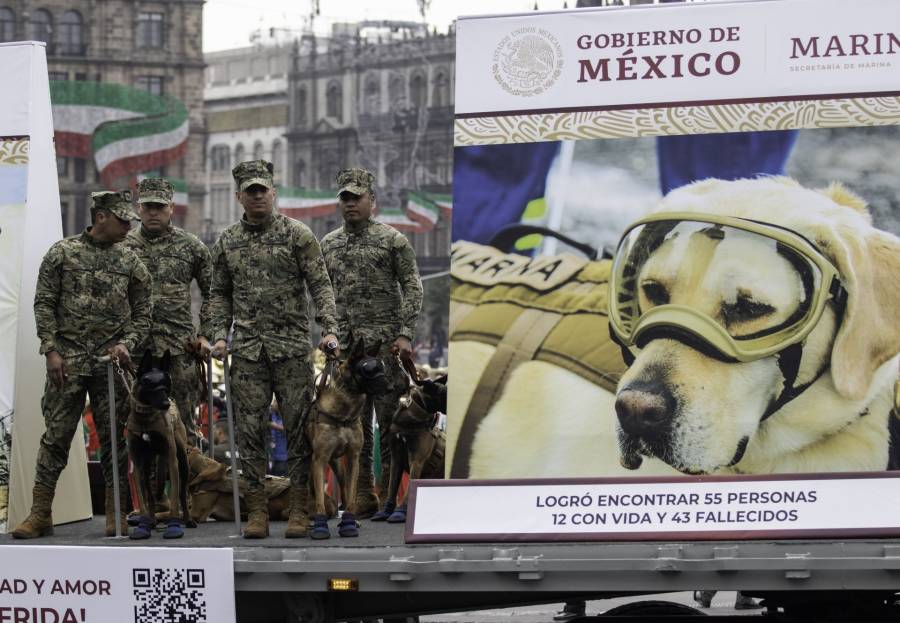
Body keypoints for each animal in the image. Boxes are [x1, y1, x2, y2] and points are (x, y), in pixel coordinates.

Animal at [126, 352, 195, 536]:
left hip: (183, 463)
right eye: (152, 385)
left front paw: (173, 526)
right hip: (148, 467)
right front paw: (142, 526)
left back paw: (187, 520)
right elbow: (143, 499)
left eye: (166, 385)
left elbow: (175, 497)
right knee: (150, 496)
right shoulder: (138, 464)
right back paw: (151, 522)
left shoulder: (172, 460)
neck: (145, 420)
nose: (166, 404)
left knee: (182, 494)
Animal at [306, 338, 386, 540]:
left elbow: (350, 494)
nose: (389, 386)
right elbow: (319, 498)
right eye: (368, 369)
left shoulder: (353, 458)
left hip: (339, 465)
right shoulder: (319, 460)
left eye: (382, 366)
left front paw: (349, 522)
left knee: (343, 487)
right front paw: (320, 524)